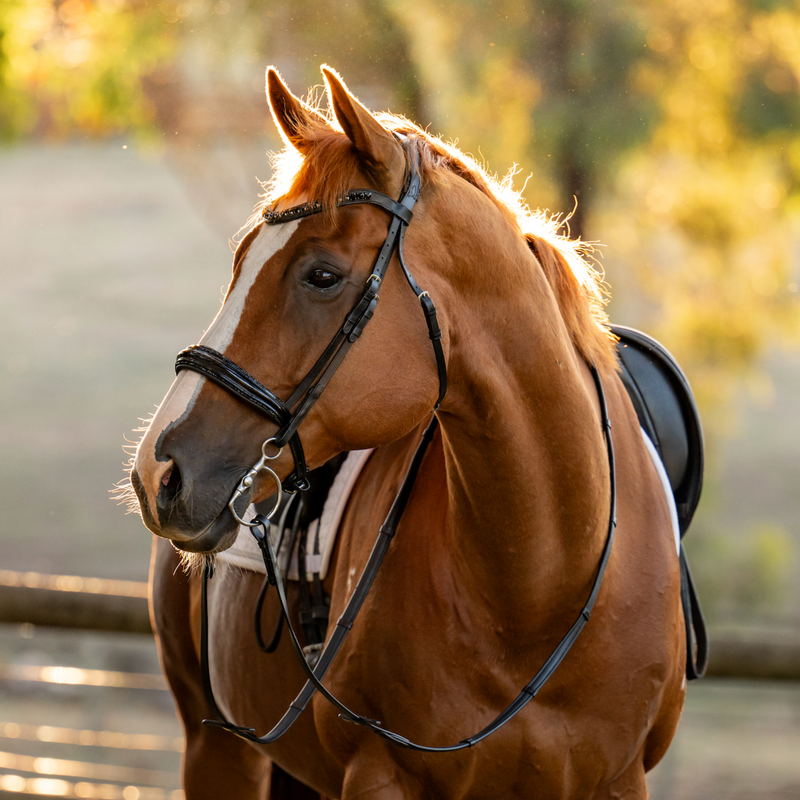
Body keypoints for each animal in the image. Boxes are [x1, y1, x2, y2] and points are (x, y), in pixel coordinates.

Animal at [131, 65, 688, 796]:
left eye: (322, 275)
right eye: (242, 259)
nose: (158, 471)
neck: (539, 586)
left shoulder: (620, 778)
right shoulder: (379, 775)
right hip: (214, 750)